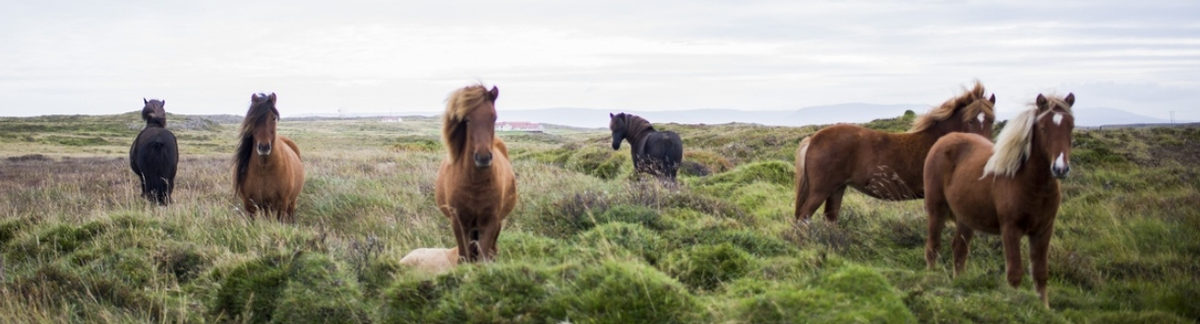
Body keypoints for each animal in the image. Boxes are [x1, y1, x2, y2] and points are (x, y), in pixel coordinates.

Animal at [230, 92, 302, 222]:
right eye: (253, 119)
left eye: (273, 118)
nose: (263, 147)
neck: (264, 169)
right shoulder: (249, 205)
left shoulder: (282, 203)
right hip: (266, 206)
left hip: (291, 201)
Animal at [436, 84, 520, 262]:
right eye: (467, 120)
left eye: (494, 118)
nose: (483, 158)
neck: (475, 184)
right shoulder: (459, 222)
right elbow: (464, 256)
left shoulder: (490, 222)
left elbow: (483, 257)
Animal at [792, 81, 998, 224]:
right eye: (970, 120)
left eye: (991, 120)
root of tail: (813, 139)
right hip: (821, 190)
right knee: (803, 217)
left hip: (837, 189)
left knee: (829, 219)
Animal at [921, 92, 1084, 307]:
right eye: (1043, 128)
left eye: (1071, 126)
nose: (1060, 168)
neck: (1031, 184)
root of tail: (943, 141)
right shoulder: (1010, 229)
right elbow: (1014, 273)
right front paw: (1014, 304)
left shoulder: (1043, 231)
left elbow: (1040, 273)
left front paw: (1044, 308)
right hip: (936, 210)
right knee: (933, 246)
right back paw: (931, 278)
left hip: (966, 219)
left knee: (959, 250)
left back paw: (960, 284)